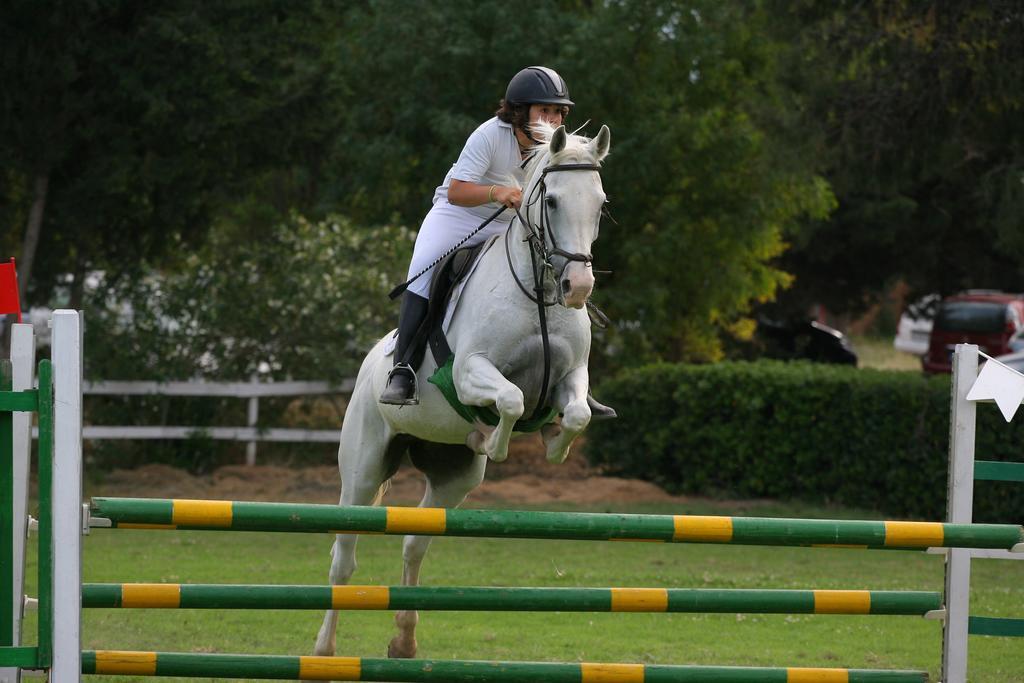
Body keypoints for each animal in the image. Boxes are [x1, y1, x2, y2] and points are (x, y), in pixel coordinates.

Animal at [311, 122, 610, 663]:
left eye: (599, 203)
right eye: (552, 200)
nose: (578, 286)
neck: (538, 292)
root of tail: (368, 364)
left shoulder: (572, 377)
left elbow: (576, 414)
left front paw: (552, 441)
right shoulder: (470, 371)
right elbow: (511, 399)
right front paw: (495, 440)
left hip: (453, 478)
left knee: (414, 543)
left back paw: (404, 641)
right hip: (363, 468)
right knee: (344, 554)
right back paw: (324, 649)